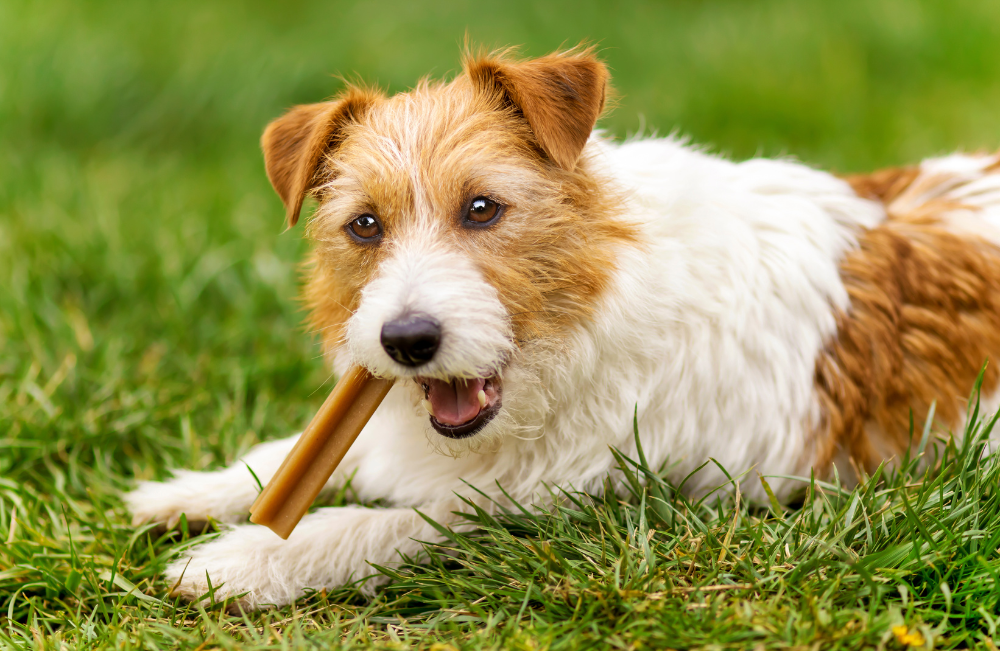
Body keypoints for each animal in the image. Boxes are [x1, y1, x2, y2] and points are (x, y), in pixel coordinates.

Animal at [125, 47, 1000, 612]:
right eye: (364, 224)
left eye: (483, 208)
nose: (406, 340)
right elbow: (296, 458)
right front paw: (188, 491)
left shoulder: (580, 514)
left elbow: (393, 523)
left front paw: (248, 558)